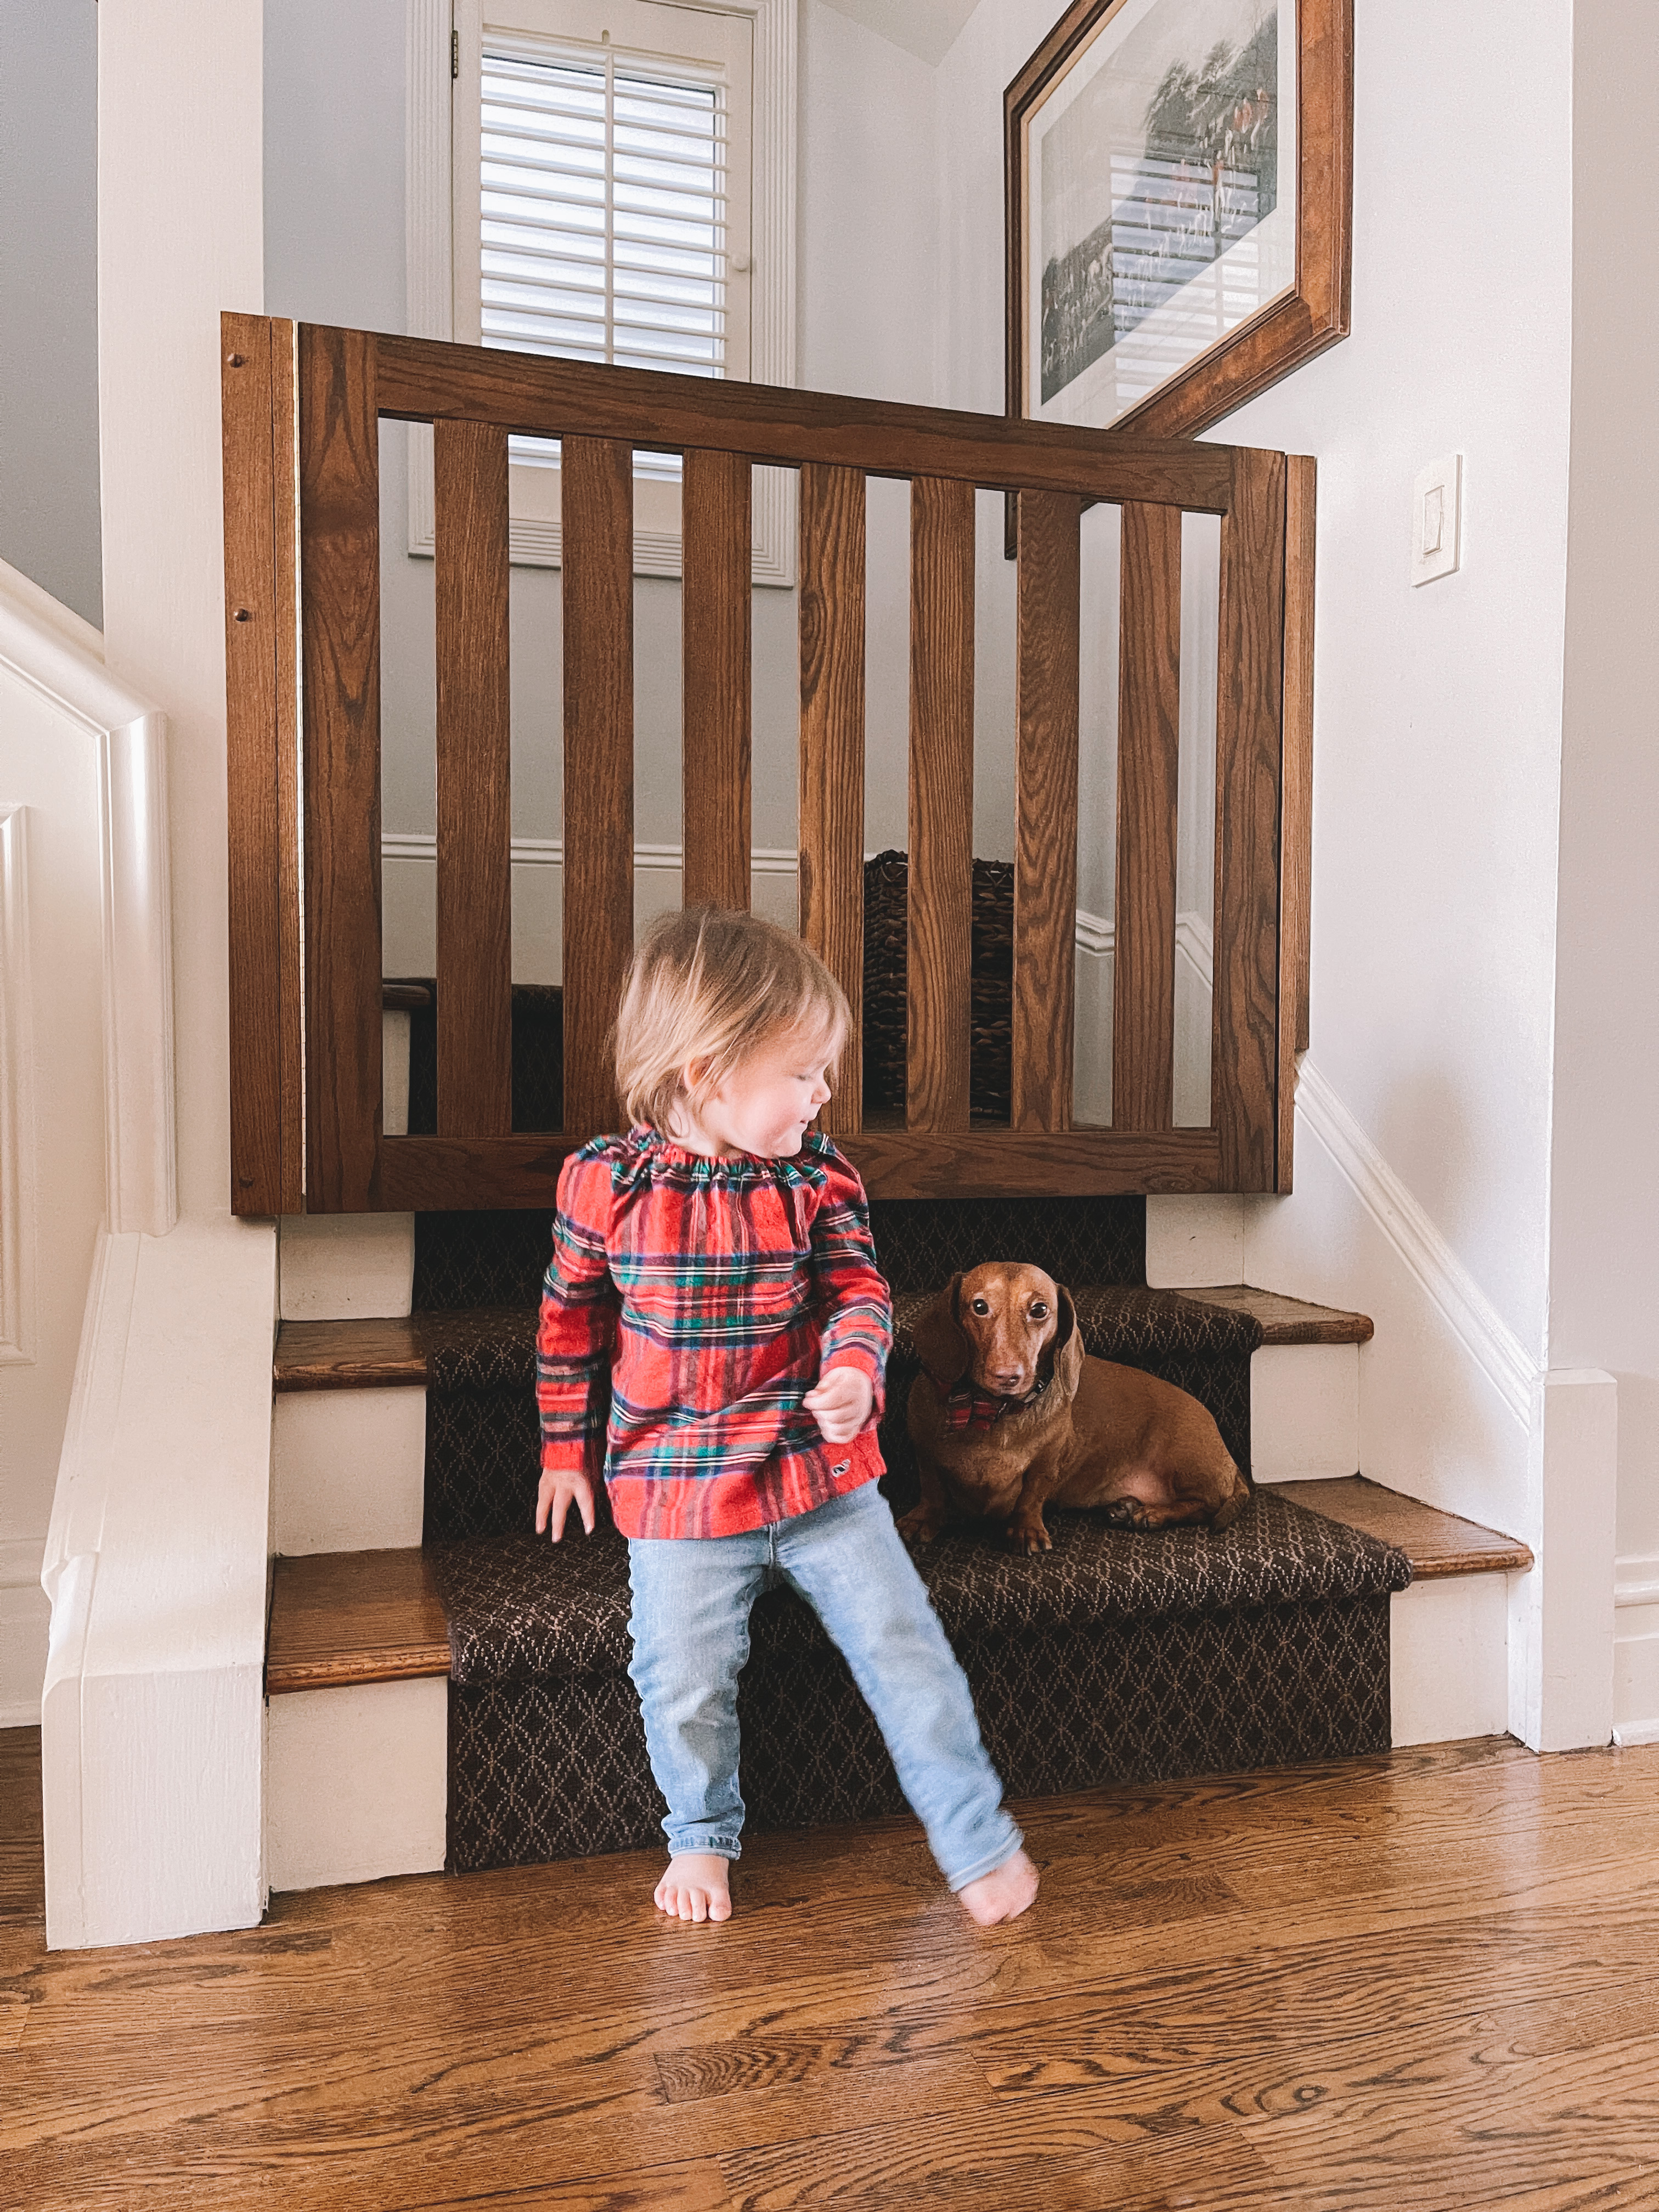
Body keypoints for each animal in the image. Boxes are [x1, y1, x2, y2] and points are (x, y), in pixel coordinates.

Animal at [902, 1265, 1256, 1557]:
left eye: (1040, 1309)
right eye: (979, 1307)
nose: (1008, 1376)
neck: (992, 1409)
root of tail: (1229, 1459)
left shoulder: (1047, 1462)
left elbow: (1031, 1496)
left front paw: (1027, 1530)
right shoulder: (923, 1450)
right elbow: (931, 1489)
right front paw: (922, 1520)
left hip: (1185, 1460)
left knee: (1206, 1506)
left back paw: (1151, 1514)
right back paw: (1128, 1508)